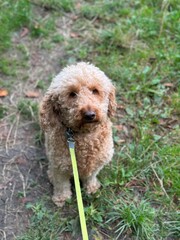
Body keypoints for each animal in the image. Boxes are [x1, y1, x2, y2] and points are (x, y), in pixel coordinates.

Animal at [39, 62, 116, 206]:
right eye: (72, 94)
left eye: (95, 90)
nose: (90, 114)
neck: (85, 135)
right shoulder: (59, 167)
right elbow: (61, 184)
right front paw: (62, 198)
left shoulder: (97, 164)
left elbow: (90, 177)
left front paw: (92, 188)